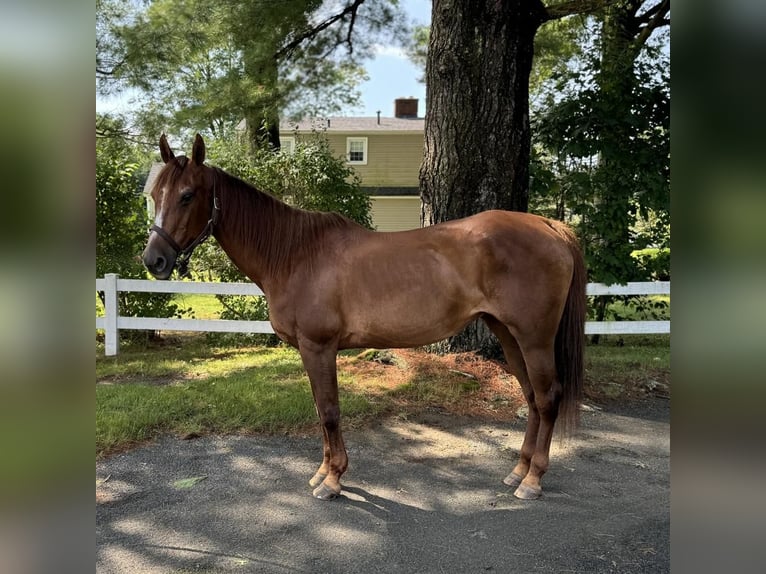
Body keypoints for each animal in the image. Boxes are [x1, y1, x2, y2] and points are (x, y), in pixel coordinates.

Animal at [144, 134, 588, 500]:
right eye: (154, 194)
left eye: (187, 195)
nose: (154, 260)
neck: (295, 254)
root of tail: (550, 226)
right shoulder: (312, 351)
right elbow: (321, 411)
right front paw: (323, 471)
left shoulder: (319, 347)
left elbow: (329, 412)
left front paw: (333, 480)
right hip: (508, 334)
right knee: (531, 398)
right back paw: (517, 471)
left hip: (534, 337)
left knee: (547, 398)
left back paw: (533, 481)